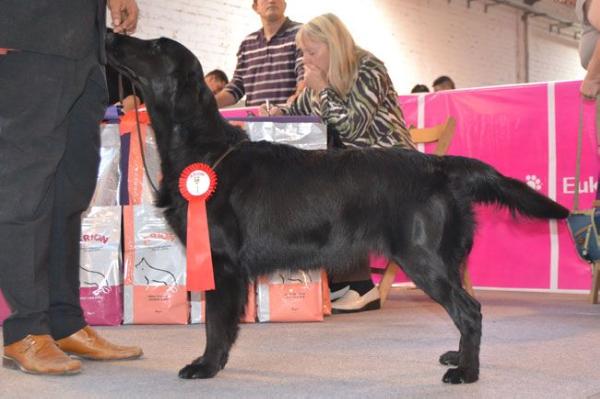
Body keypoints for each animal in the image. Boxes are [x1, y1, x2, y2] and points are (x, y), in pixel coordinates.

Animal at [105, 33, 568, 384]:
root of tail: (439, 164)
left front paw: (205, 366)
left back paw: (467, 372)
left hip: (423, 257)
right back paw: (458, 358)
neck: (204, 151)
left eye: (156, 45)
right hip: (444, 259)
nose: (110, 34)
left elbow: (217, 324)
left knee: (470, 311)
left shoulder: (221, 261)